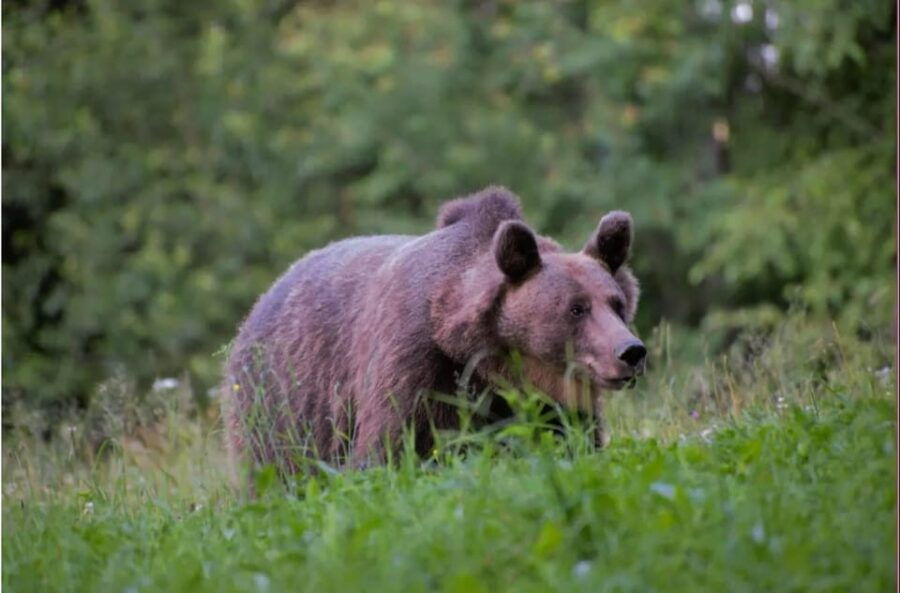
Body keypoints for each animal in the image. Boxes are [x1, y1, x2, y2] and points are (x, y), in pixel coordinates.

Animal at [223, 186, 644, 475]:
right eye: (576, 308)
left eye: (617, 303)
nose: (631, 352)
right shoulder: (415, 358)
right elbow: (390, 444)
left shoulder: (553, 404)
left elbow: (572, 441)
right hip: (282, 400)